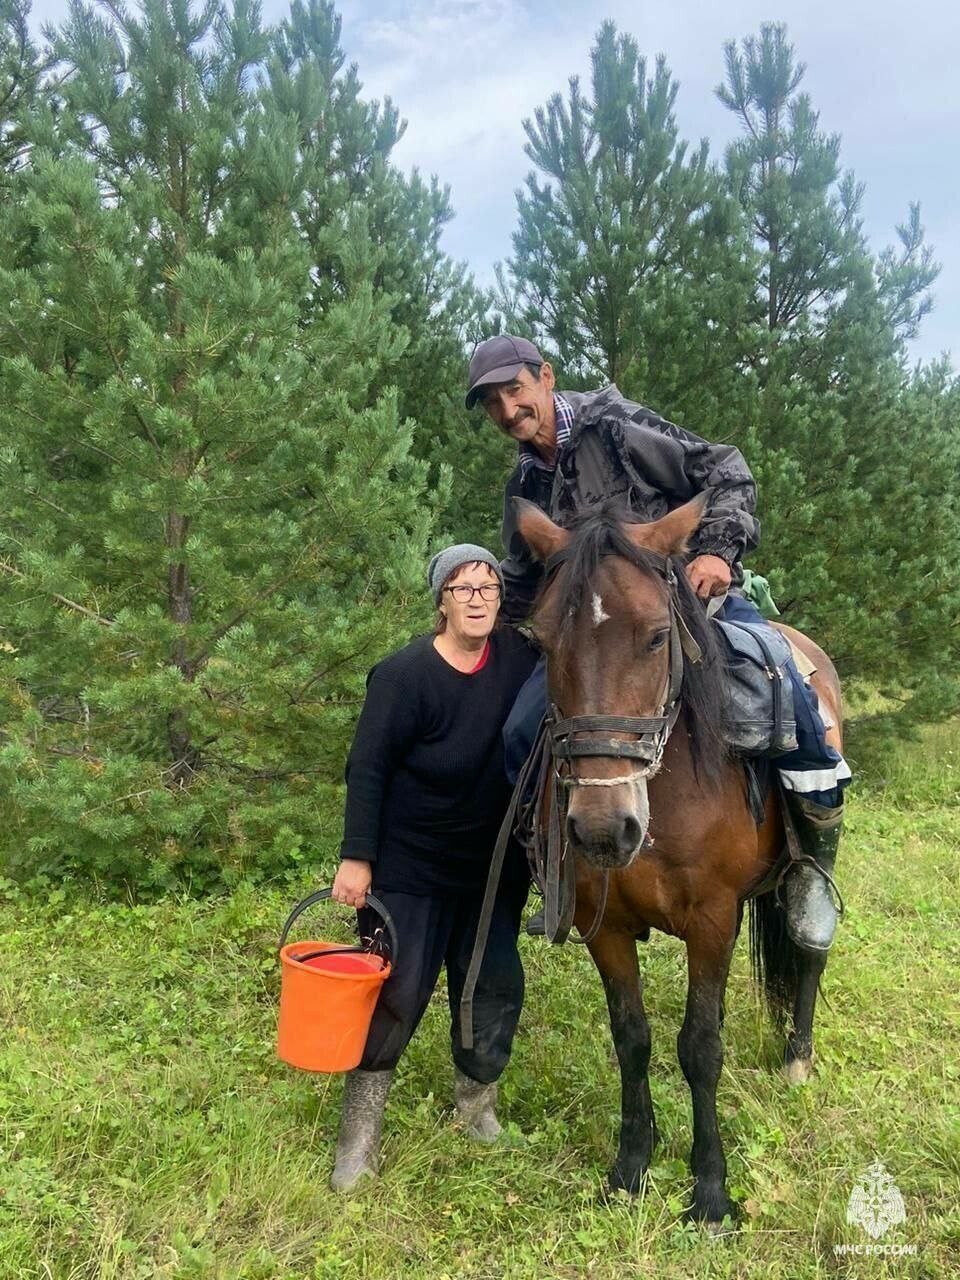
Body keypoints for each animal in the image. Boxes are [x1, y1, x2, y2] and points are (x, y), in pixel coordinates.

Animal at [514, 494, 844, 1223]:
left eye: (656, 636)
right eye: (543, 643)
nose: (603, 830)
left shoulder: (713, 918)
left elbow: (699, 1048)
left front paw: (711, 1191)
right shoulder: (603, 926)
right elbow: (632, 1038)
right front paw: (630, 1167)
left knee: (808, 943)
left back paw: (798, 1056)